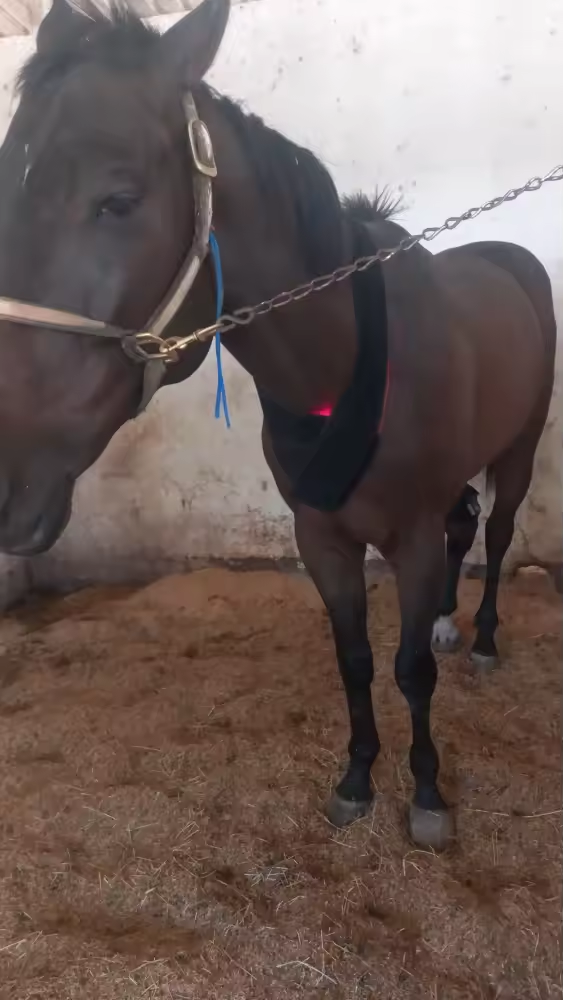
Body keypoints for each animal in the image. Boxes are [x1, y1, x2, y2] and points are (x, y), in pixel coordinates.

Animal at [0, 0, 555, 851]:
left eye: (118, 201)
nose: (8, 481)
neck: (345, 359)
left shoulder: (409, 537)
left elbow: (408, 672)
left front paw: (426, 793)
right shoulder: (320, 535)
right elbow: (355, 660)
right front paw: (357, 778)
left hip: (519, 448)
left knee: (492, 538)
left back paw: (485, 636)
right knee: (465, 526)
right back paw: (447, 622)